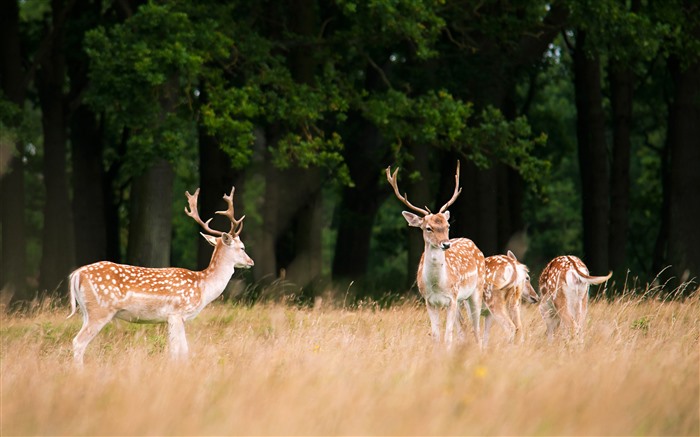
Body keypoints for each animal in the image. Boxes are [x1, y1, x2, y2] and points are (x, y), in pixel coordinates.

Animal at [66, 186, 254, 364]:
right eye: (242, 247)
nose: (251, 262)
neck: (203, 287)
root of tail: (76, 274)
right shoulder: (177, 313)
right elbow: (180, 352)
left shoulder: (172, 318)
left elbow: (178, 351)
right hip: (100, 310)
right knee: (78, 342)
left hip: (85, 311)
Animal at [386, 160, 484, 348]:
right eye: (428, 228)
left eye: (447, 225)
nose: (446, 244)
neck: (438, 284)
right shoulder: (429, 301)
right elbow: (436, 335)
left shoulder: (452, 298)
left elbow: (448, 336)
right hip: (461, 300)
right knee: (464, 328)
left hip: (476, 291)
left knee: (476, 328)